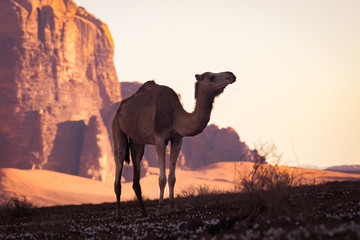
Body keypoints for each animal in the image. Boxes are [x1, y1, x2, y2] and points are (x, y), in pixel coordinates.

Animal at [112, 71, 236, 218]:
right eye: (211, 77)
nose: (231, 75)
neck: (175, 116)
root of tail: (120, 108)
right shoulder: (160, 139)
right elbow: (162, 178)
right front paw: (159, 209)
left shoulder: (177, 140)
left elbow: (172, 178)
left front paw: (172, 207)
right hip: (117, 127)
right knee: (119, 161)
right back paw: (119, 216)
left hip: (137, 140)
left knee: (136, 165)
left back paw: (144, 213)